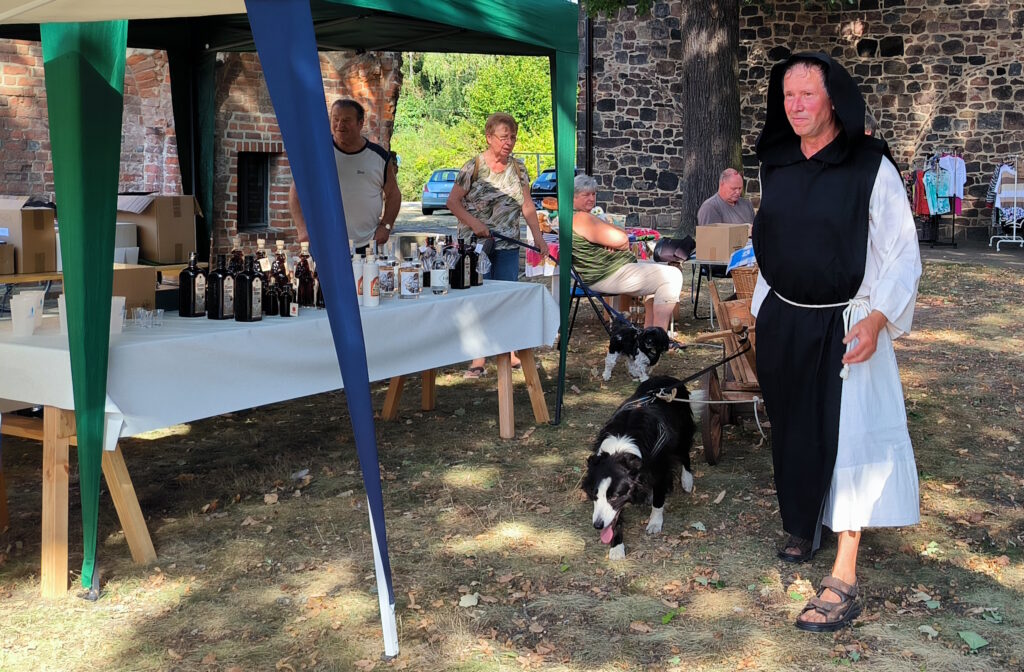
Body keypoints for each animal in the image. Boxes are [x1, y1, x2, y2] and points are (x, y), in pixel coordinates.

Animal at [585, 374, 696, 557]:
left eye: (614, 497)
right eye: (594, 495)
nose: (598, 525)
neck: (620, 450)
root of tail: (668, 377)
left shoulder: (658, 469)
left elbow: (658, 499)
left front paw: (655, 523)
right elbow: (615, 518)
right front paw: (616, 547)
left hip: (682, 431)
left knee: (684, 453)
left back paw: (687, 481)